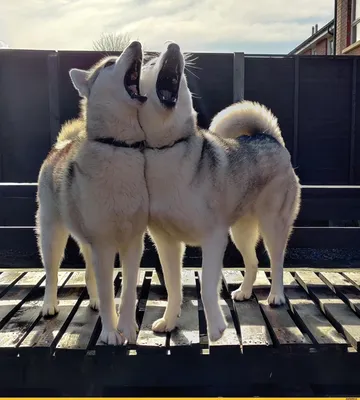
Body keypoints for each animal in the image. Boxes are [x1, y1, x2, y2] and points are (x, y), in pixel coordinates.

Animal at [35, 42, 148, 346]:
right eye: (109, 63)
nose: (136, 44)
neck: (118, 146)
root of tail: (60, 145)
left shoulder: (132, 244)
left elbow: (128, 291)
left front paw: (128, 328)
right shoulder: (104, 244)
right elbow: (110, 293)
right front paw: (110, 331)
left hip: (87, 241)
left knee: (89, 274)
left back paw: (94, 299)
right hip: (52, 236)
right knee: (51, 272)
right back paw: (49, 304)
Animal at [140, 43, 300, 342]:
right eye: (150, 64)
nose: (173, 46)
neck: (166, 151)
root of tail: (268, 137)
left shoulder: (213, 239)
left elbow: (205, 287)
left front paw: (215, 328)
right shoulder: (166, 244)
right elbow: (173, 287)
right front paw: (169, 321)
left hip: (272, 226)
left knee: (276, 261)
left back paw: (276, 295)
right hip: (240, 232)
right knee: (252, 262)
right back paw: (246, 291)